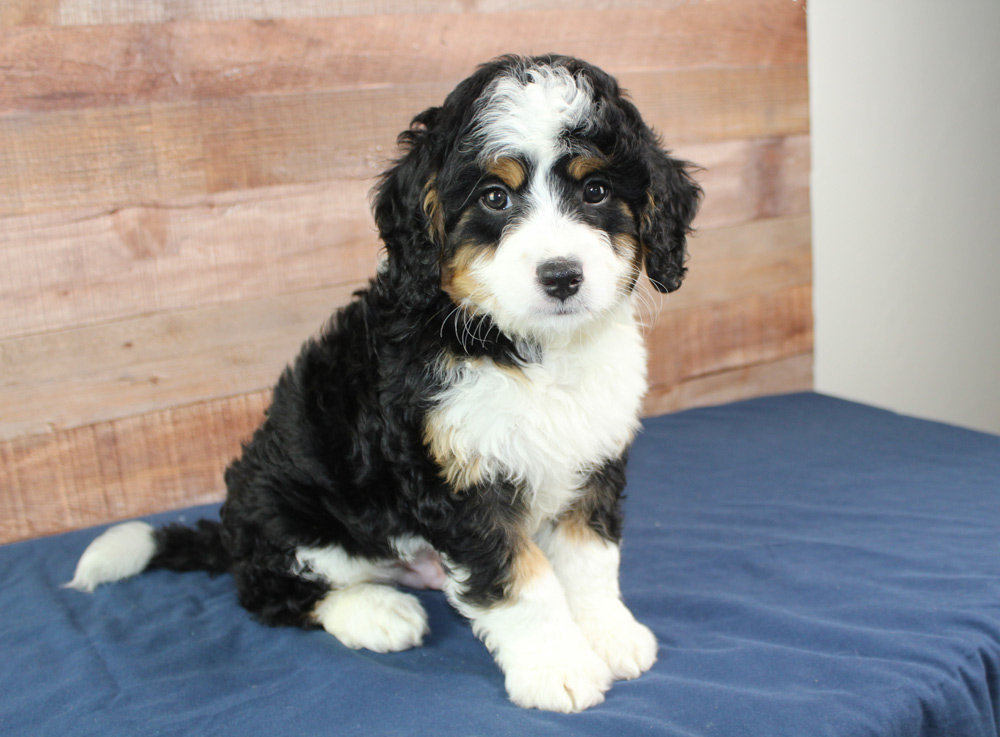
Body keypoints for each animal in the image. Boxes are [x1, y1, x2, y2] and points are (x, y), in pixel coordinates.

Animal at [68, 54, 701, 713]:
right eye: (496, 197)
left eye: (595, 190)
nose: (561, 277)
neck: (522, 346)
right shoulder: (455, 478)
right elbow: (518, 581)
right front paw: (558, 667)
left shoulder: (592, 456)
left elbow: (588, 561)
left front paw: (609, 633)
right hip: (286, 515)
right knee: (273, 591)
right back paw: (376, 613)